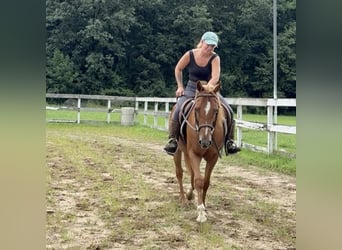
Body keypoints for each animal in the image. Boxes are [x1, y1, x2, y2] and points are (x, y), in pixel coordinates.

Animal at [170, 80, 228, 223]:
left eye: (216, 110)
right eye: (196, 109)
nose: (205, 141)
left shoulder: (213, 158)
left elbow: (205, 182)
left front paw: (204, 207)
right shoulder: (194, 154)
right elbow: (198, 181)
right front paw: (201, 212)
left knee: (190, 173)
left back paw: (190, 194)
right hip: (178, 151)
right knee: (179, 173)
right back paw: (183, 199)